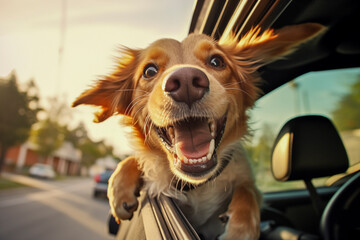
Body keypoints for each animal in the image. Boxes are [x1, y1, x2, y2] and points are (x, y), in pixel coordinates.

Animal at [72, 23, 324, 240]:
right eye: (149, 71)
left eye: (216, 61)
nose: (185, 82)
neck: (197, 185)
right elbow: (134, 159)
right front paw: (119, 189)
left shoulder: (246, 178)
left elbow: (247, 190)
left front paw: (240, 230)